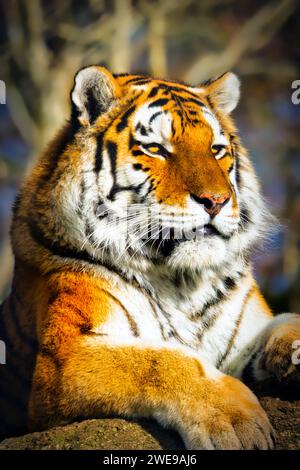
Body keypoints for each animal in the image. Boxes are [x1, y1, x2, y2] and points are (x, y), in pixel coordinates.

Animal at [0, 64, 300, 450]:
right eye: (156, 149)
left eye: (216, 149)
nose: (217, 201)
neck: (182, 281)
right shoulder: (66, 355)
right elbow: (162, 359)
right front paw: (237, 422)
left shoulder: (247, 334)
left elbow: (288, 322)